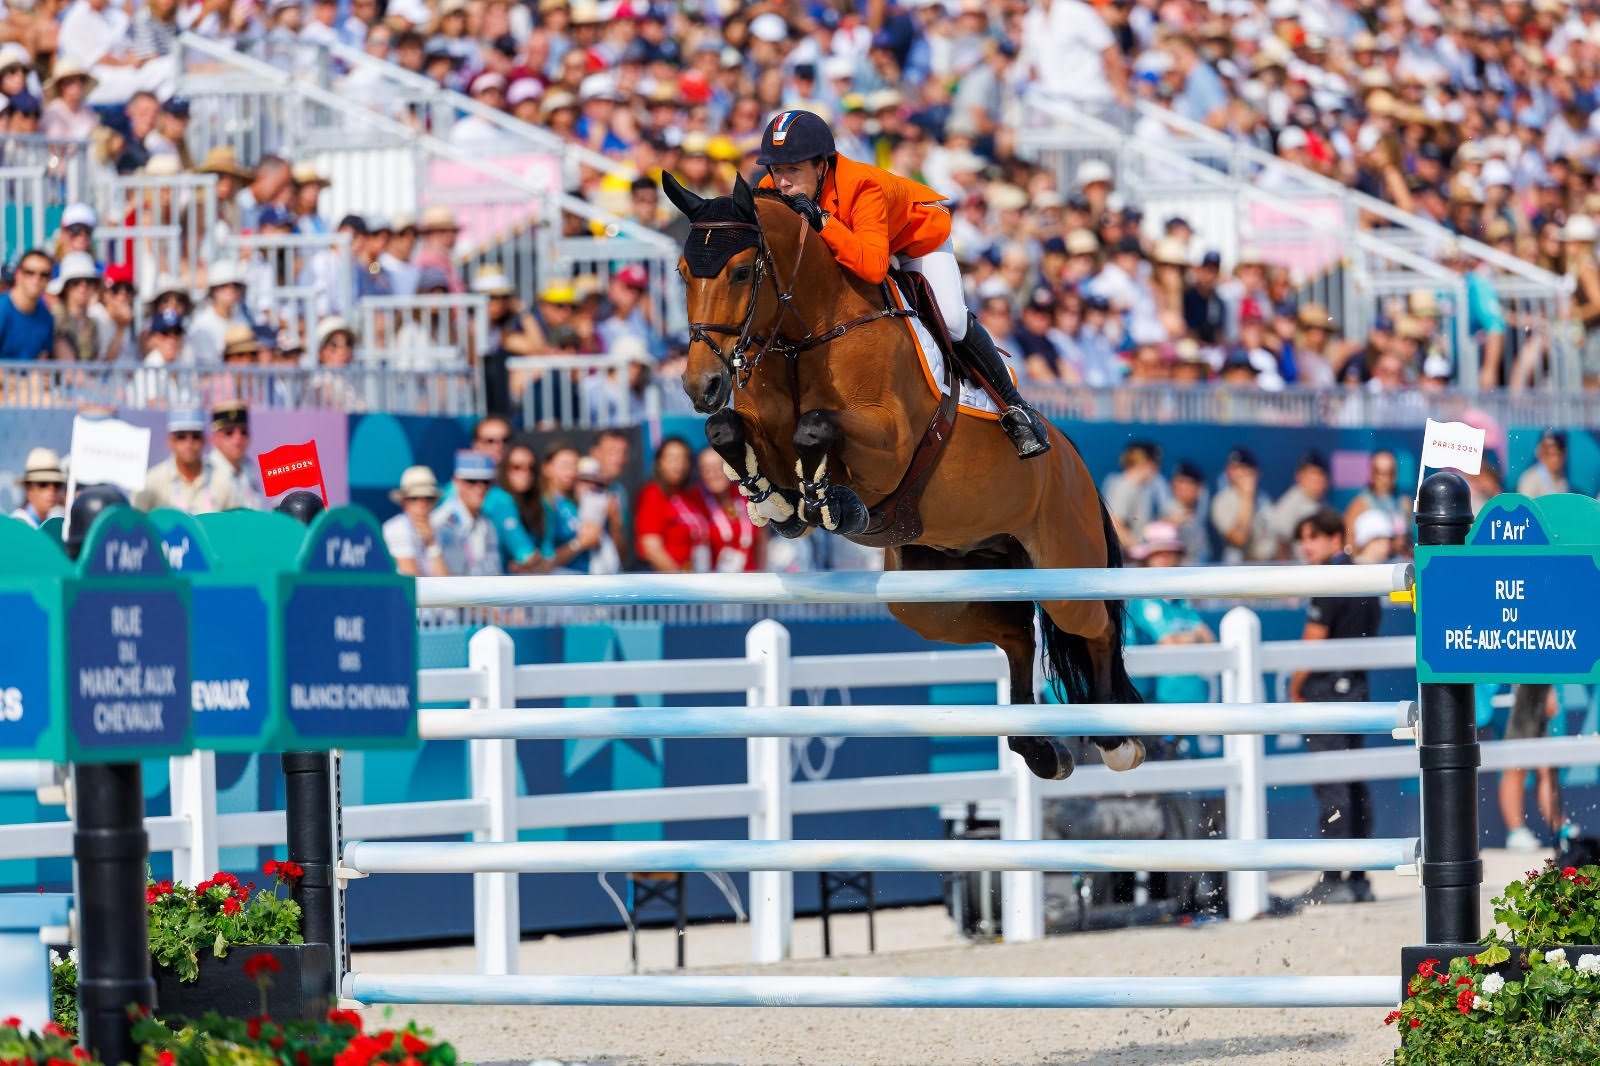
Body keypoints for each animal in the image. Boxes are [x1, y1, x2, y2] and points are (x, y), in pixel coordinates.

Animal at [665, 170, 1152, 777]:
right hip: (932, 595)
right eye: (682, 273)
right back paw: (1038, 747)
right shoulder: (759, 427)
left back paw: (1116, 740)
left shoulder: (891, 444)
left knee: (1096, 626)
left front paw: (832, 504)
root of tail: (1074, 462)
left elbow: (816, 428)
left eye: (738, 271)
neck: (804, 333)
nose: (700, 385)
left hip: (1065, 566)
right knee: (1017, 632)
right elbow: (727, 431)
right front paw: (776, 503)